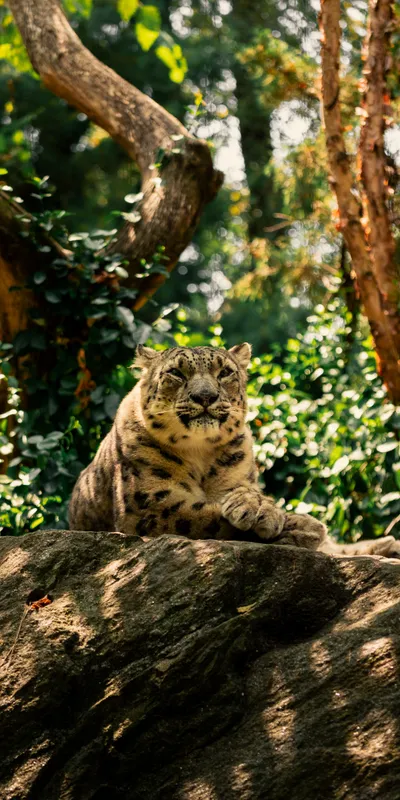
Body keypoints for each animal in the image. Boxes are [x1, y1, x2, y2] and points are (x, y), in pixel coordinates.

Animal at [68, 343, 400, 559]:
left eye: (225, 372)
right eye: (176, 373)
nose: (205, 396)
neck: (199, 453)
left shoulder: (236, 478)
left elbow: (241, 495)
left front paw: (260, 507)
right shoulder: (149, 504)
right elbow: (200, 515)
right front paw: (296, 525)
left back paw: (388, 545)